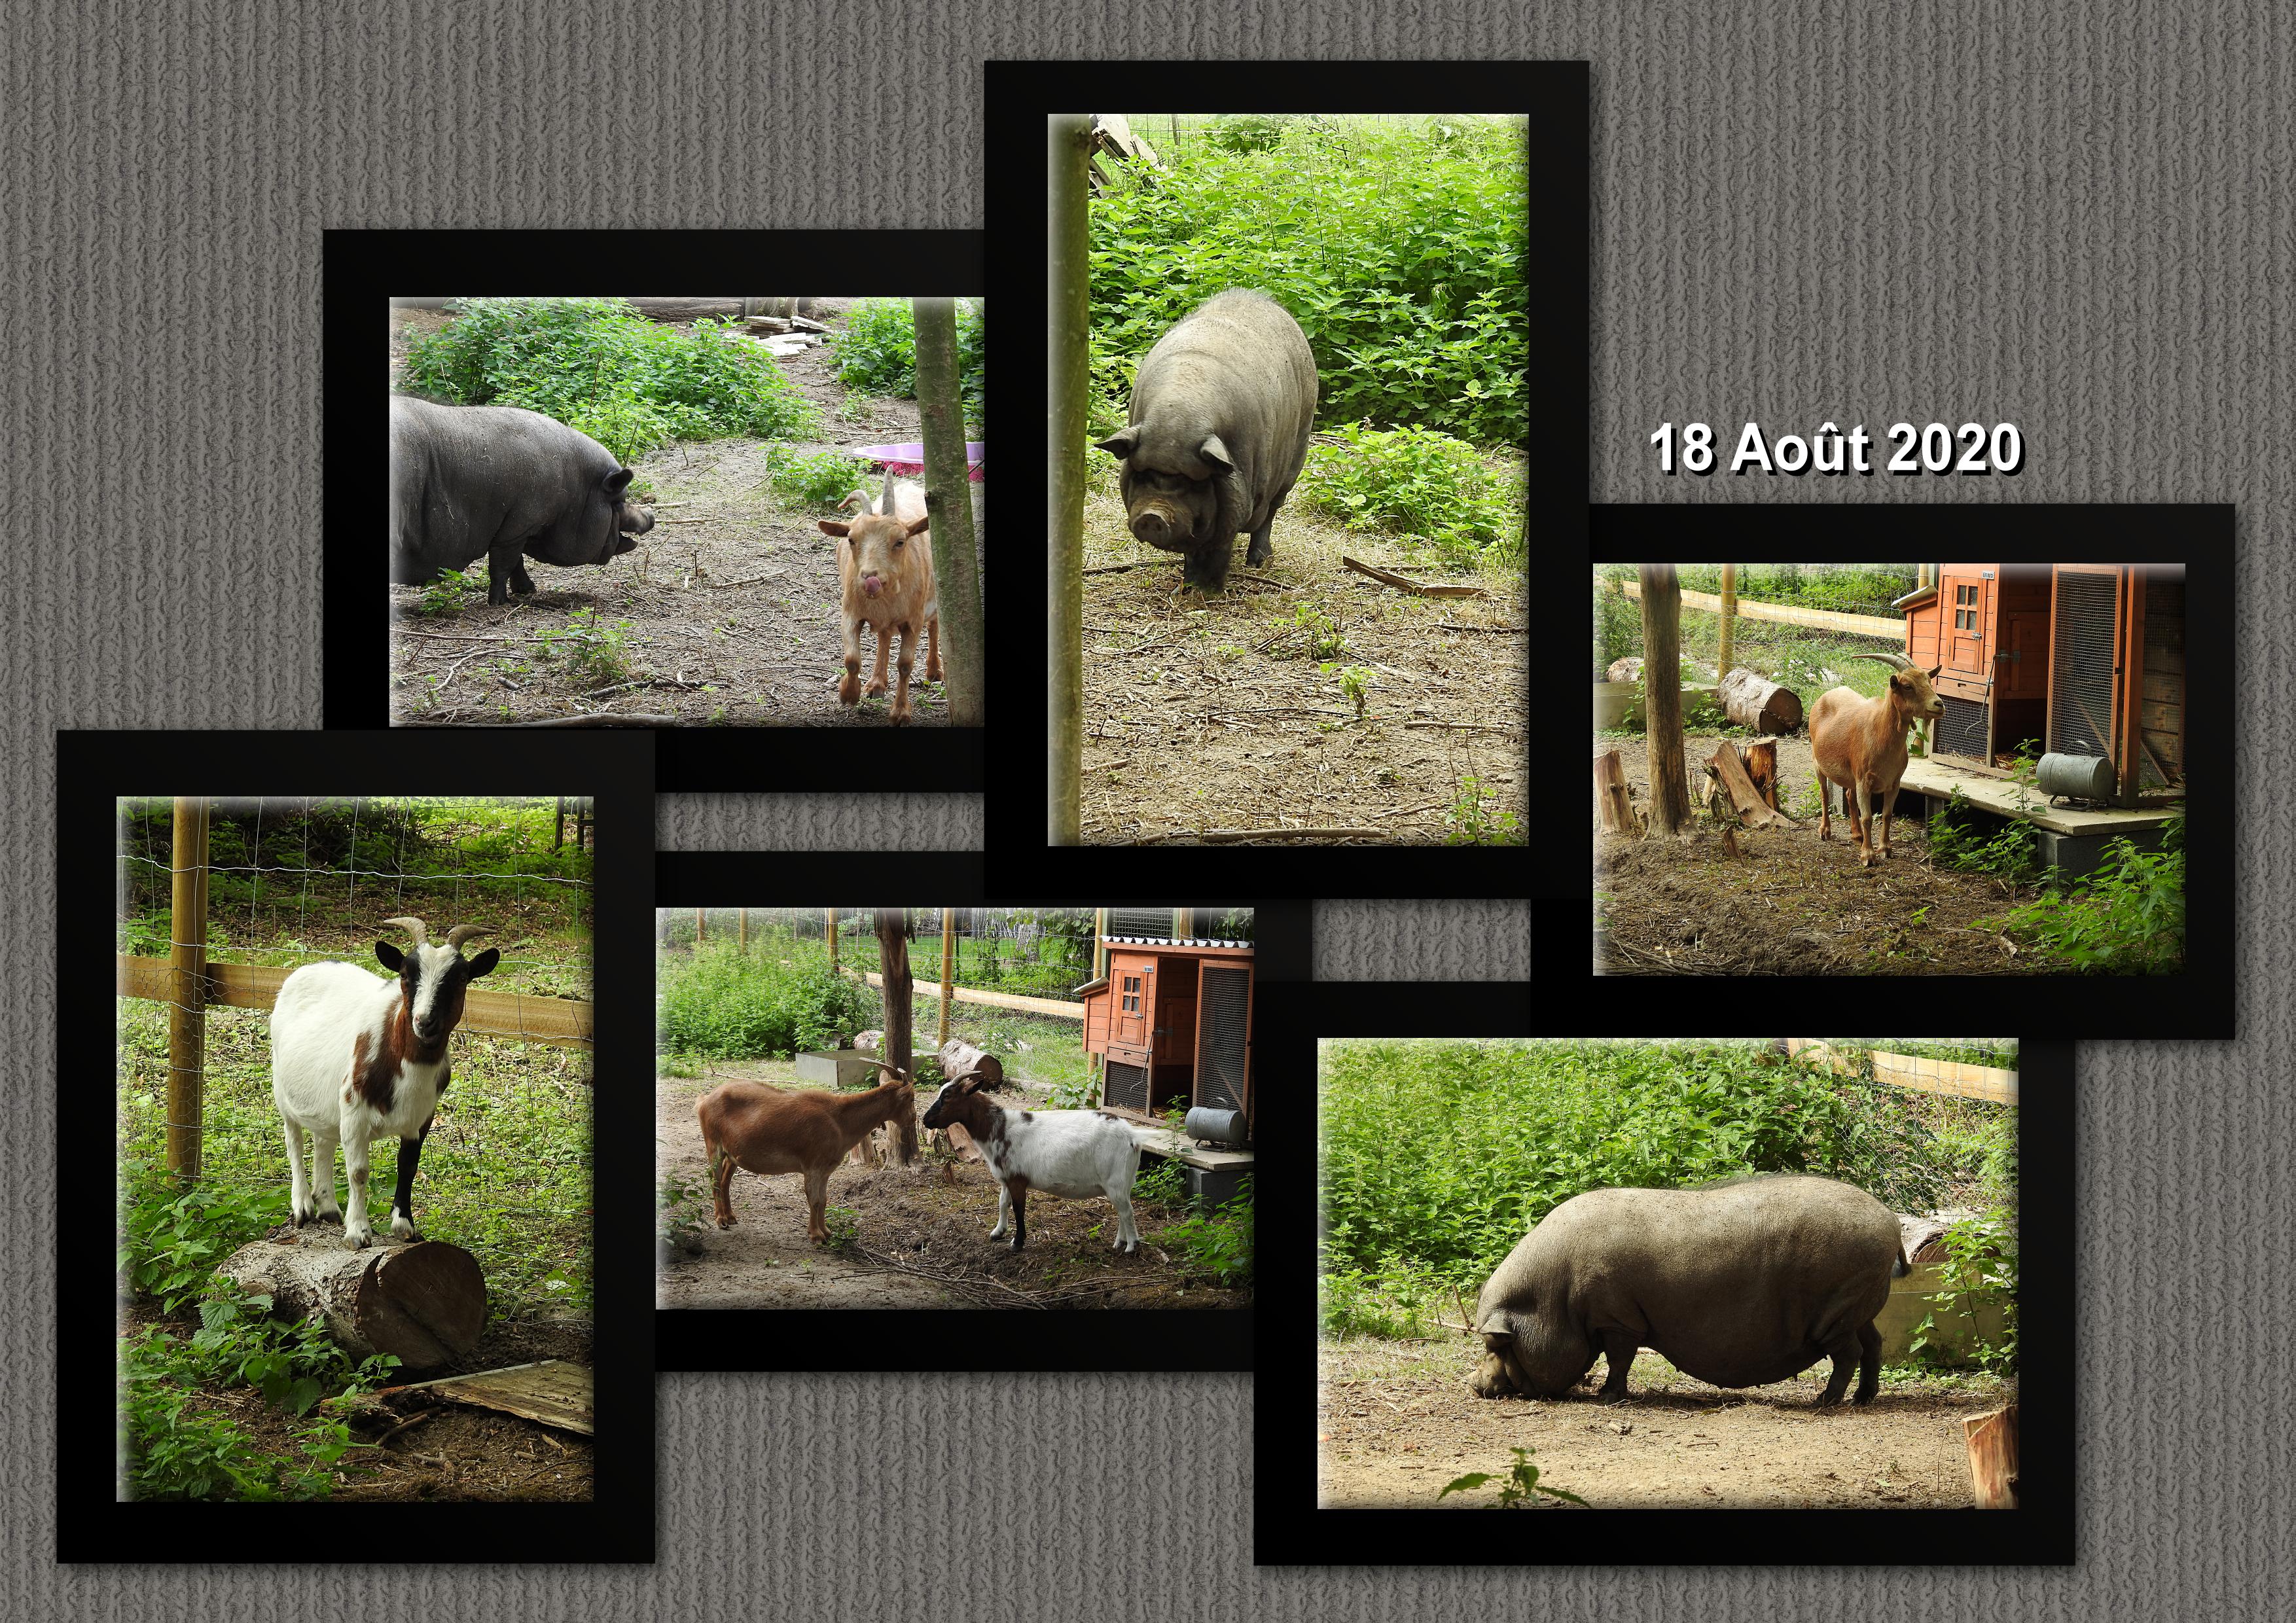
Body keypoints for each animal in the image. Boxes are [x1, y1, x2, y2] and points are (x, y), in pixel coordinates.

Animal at [389, 396, 654, 606]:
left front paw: (528, 591)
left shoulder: (515, 529)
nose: (651, 515)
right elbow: (503, 565)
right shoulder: (519, 526)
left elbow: (517, 563)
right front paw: (501, 603)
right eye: (619, 501)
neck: (574, 491)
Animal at [818, 478, 940, 725]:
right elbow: (852, 659)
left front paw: (901, 713)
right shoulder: (851, 613)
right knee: (884, 637)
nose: (870, 578)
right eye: (851, 539)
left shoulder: (913, 621)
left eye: (900, 542)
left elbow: (905, 665)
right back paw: (877, 684)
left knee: (935, 626)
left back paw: (934, 671)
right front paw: (848, 693)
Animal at [1094, 289, 1318, 592]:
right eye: (1144, 474)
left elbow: (1220, 544)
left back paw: (1258, 563)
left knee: (1271, 511)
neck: (1179, 418)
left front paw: (1209, 590)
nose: (1153, 516)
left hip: (1299, 449)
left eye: (1192, 482)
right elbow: (1194, 547)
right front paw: (1188, 586)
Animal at [1468, 1175, 1910, 1408]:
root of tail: (1890, 1222)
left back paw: (1823, 1403)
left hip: (1838, 1312)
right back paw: (1864, 1399)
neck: (1556, 1297)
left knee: (1850, 1353)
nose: (1474, 1384)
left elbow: (1619, 1359)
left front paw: (1609, 1397)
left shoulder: (1618, 1319)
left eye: (1496, 1345)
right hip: (1861, 1307)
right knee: (1874, 1345)